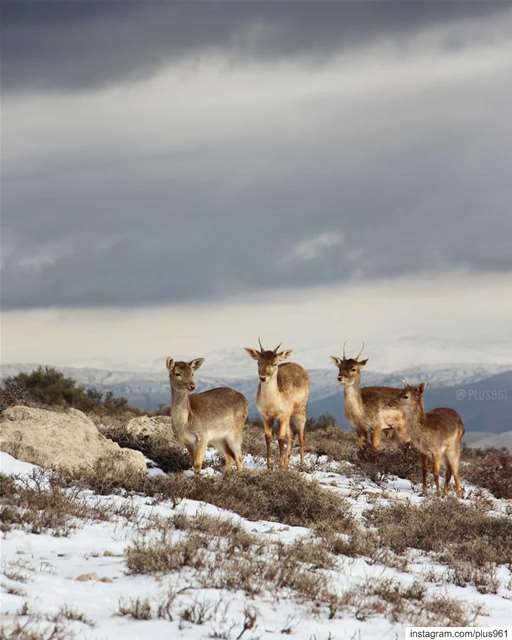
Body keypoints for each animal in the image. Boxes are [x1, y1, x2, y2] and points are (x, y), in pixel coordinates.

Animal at [245, 340, 312, 470]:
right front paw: (270, 465)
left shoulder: (283, 414)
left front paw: (280, 465)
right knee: (291, 435)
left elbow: (281, 438)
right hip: (290, 416)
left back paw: (301, 464)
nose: (263, 377)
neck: (272, 404)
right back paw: (287, 462)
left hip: (300, 410)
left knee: (300, 435)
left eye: (274, 363)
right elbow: (268, 437)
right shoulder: (265, 415)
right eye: (258, 362)